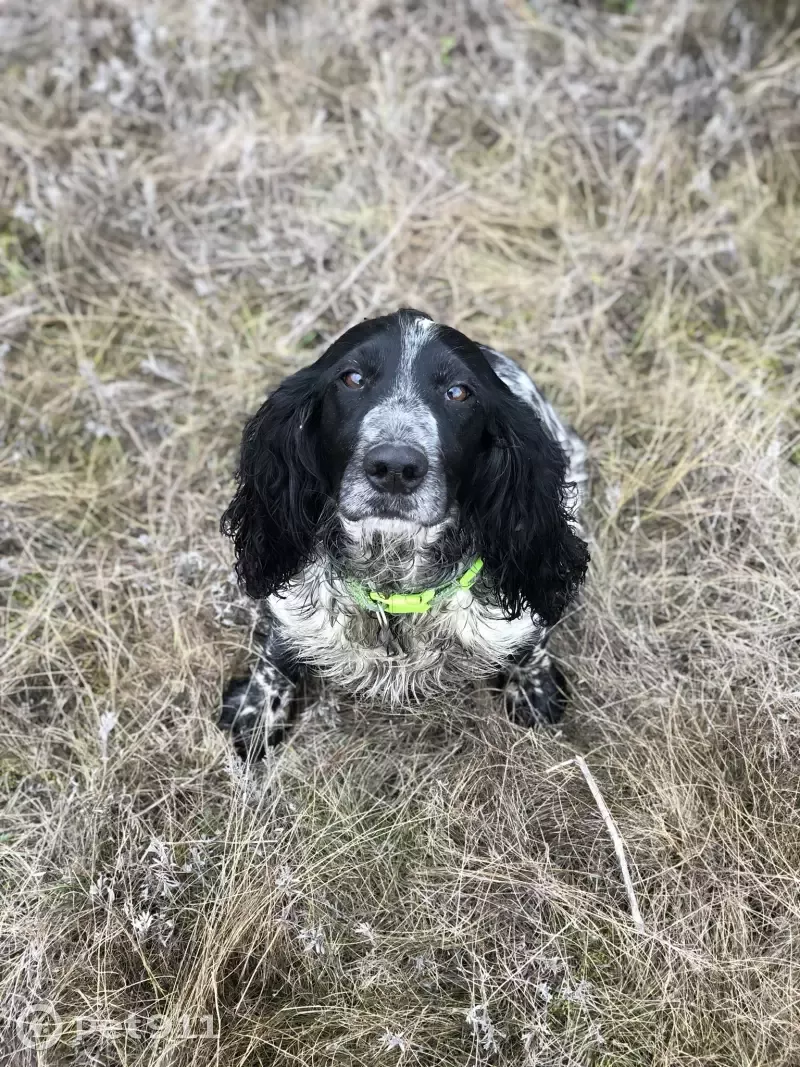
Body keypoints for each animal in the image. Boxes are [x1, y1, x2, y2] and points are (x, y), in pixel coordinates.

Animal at [219, 309, 588, 759]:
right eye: (352, 378)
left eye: (458, 392)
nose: (395, 467)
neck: (393, 571)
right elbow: (274, 657)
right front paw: (256, 716)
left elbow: (532, 640)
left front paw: (534, 690)